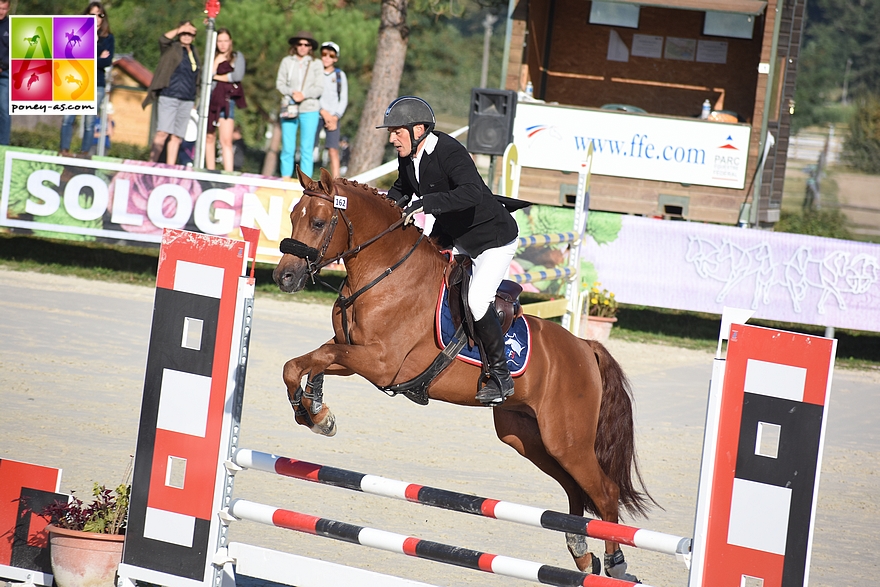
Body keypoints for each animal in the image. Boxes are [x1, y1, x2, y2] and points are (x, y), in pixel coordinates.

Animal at [276, 168, 652, 580]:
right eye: (293, 215)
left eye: (318, 222)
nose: (285, 277)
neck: (384, 272)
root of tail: (585, 346)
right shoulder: (354, 357)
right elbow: (305, 362)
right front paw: (315, 412)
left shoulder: (380, 363)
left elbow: (317, 357)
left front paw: (314, 412)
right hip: (527, 437)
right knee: (575, 489)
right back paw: (582, 555)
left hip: (567, 440)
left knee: (604, 492)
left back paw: (617, 566)